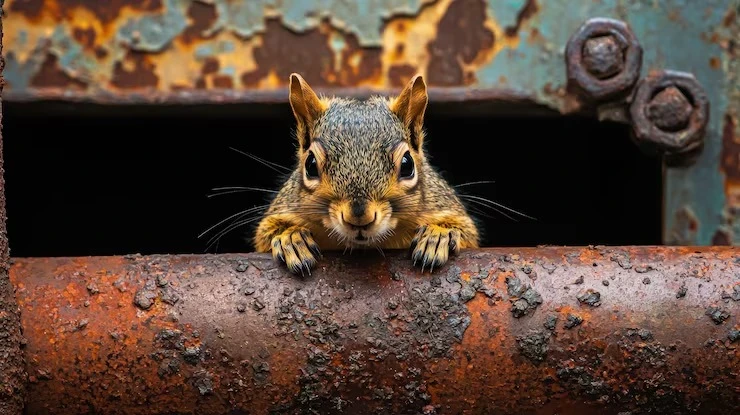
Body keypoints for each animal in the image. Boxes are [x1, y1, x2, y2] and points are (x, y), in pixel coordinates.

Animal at [253, 73, 480, 274]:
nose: (359, 217)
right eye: (310, 165)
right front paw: (291, 238)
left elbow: (466, 232)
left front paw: (438, 235)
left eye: (407, 165)